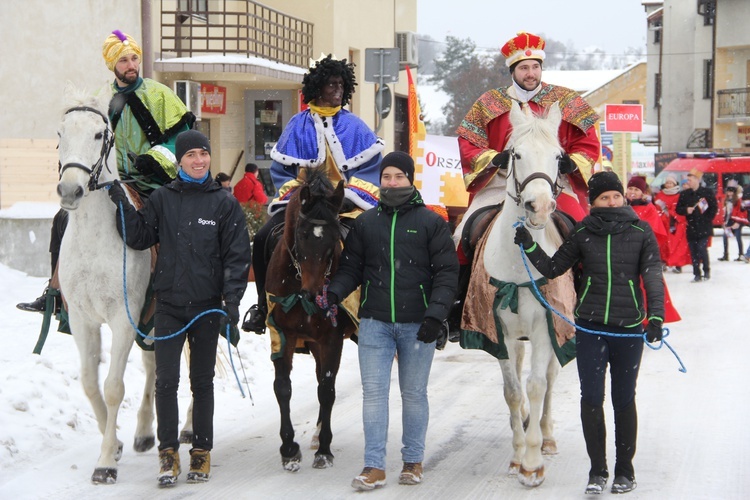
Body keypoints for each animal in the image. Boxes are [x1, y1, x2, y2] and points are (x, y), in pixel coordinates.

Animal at [57, 87, 157, 484]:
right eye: (60, 134)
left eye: (99, 134)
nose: (69, 189)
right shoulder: (82, 320)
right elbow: (89, 382)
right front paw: (112, 443)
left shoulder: (123, 320)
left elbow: (113, 387)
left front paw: (105, 463)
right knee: (153, 365)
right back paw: (144, 433)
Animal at [264, 170, 358, 470]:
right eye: (302, 235)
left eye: (333, 238)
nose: (315, 294)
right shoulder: (282, 334)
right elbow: (283, 388)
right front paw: (289, 449)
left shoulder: (332, 339)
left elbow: (327, 390)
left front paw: (324, 451)